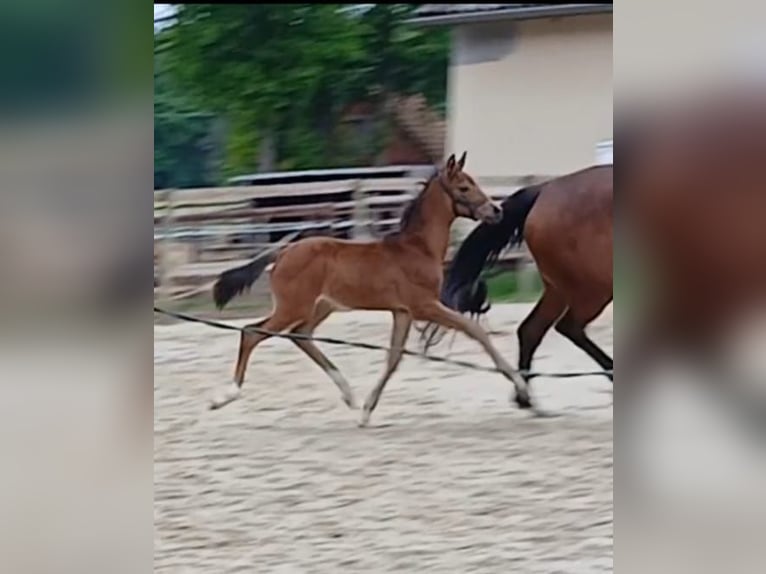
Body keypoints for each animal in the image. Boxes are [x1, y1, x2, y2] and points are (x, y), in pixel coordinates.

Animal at [210, 152, 533, 427]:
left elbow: (393, 358)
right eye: (464, 187)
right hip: (293, 307)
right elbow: (475, 331)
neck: (417, 248)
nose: (496, 211)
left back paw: (349, 394)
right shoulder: (424, 306)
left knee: (301, 335)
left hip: (321, 306)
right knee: (252, 332)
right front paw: (522, 387)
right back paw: (225, 396)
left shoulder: (402, 312)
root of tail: (283, 251)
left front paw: (366, 411)